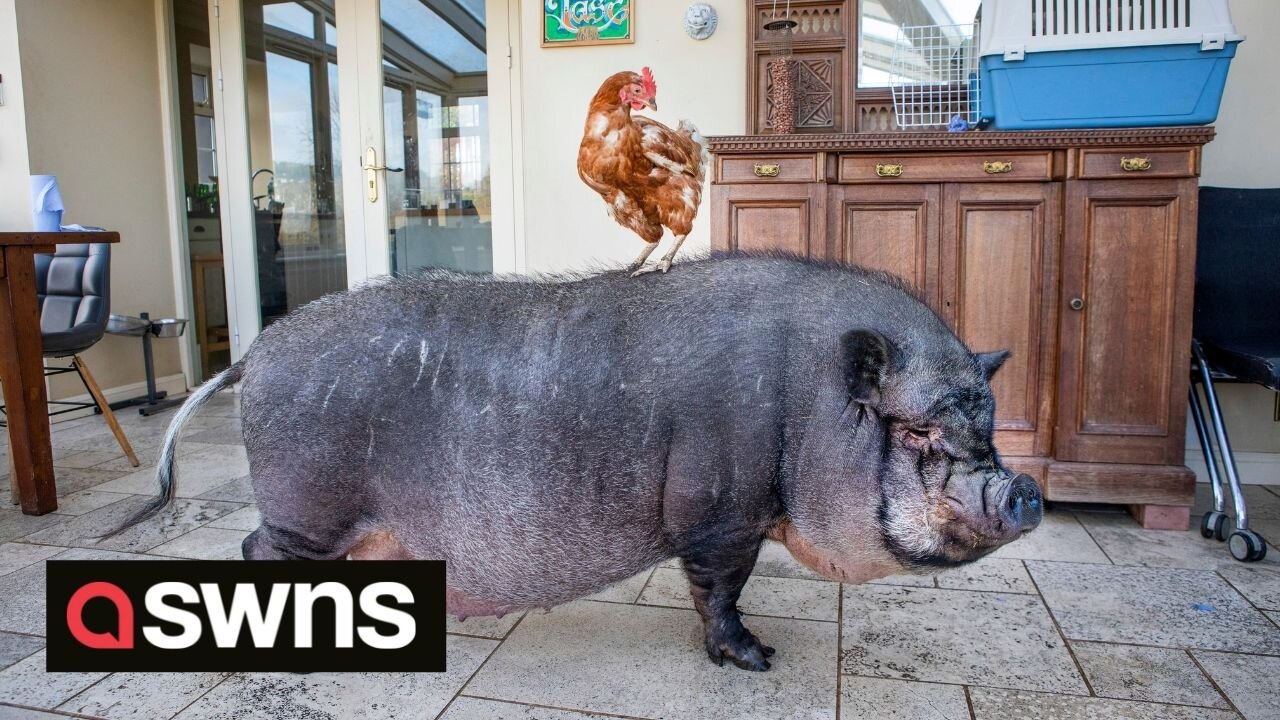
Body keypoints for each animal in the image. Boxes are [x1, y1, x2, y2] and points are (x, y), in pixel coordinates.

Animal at [112, 252, 1039, 666]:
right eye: (917, 433)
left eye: (987, 424)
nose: (1024, 490)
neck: (803, 404)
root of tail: (254, 354)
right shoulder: (722, 514)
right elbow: (721, 590)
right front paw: (757, 660)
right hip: (307, 505)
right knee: (254, 551)